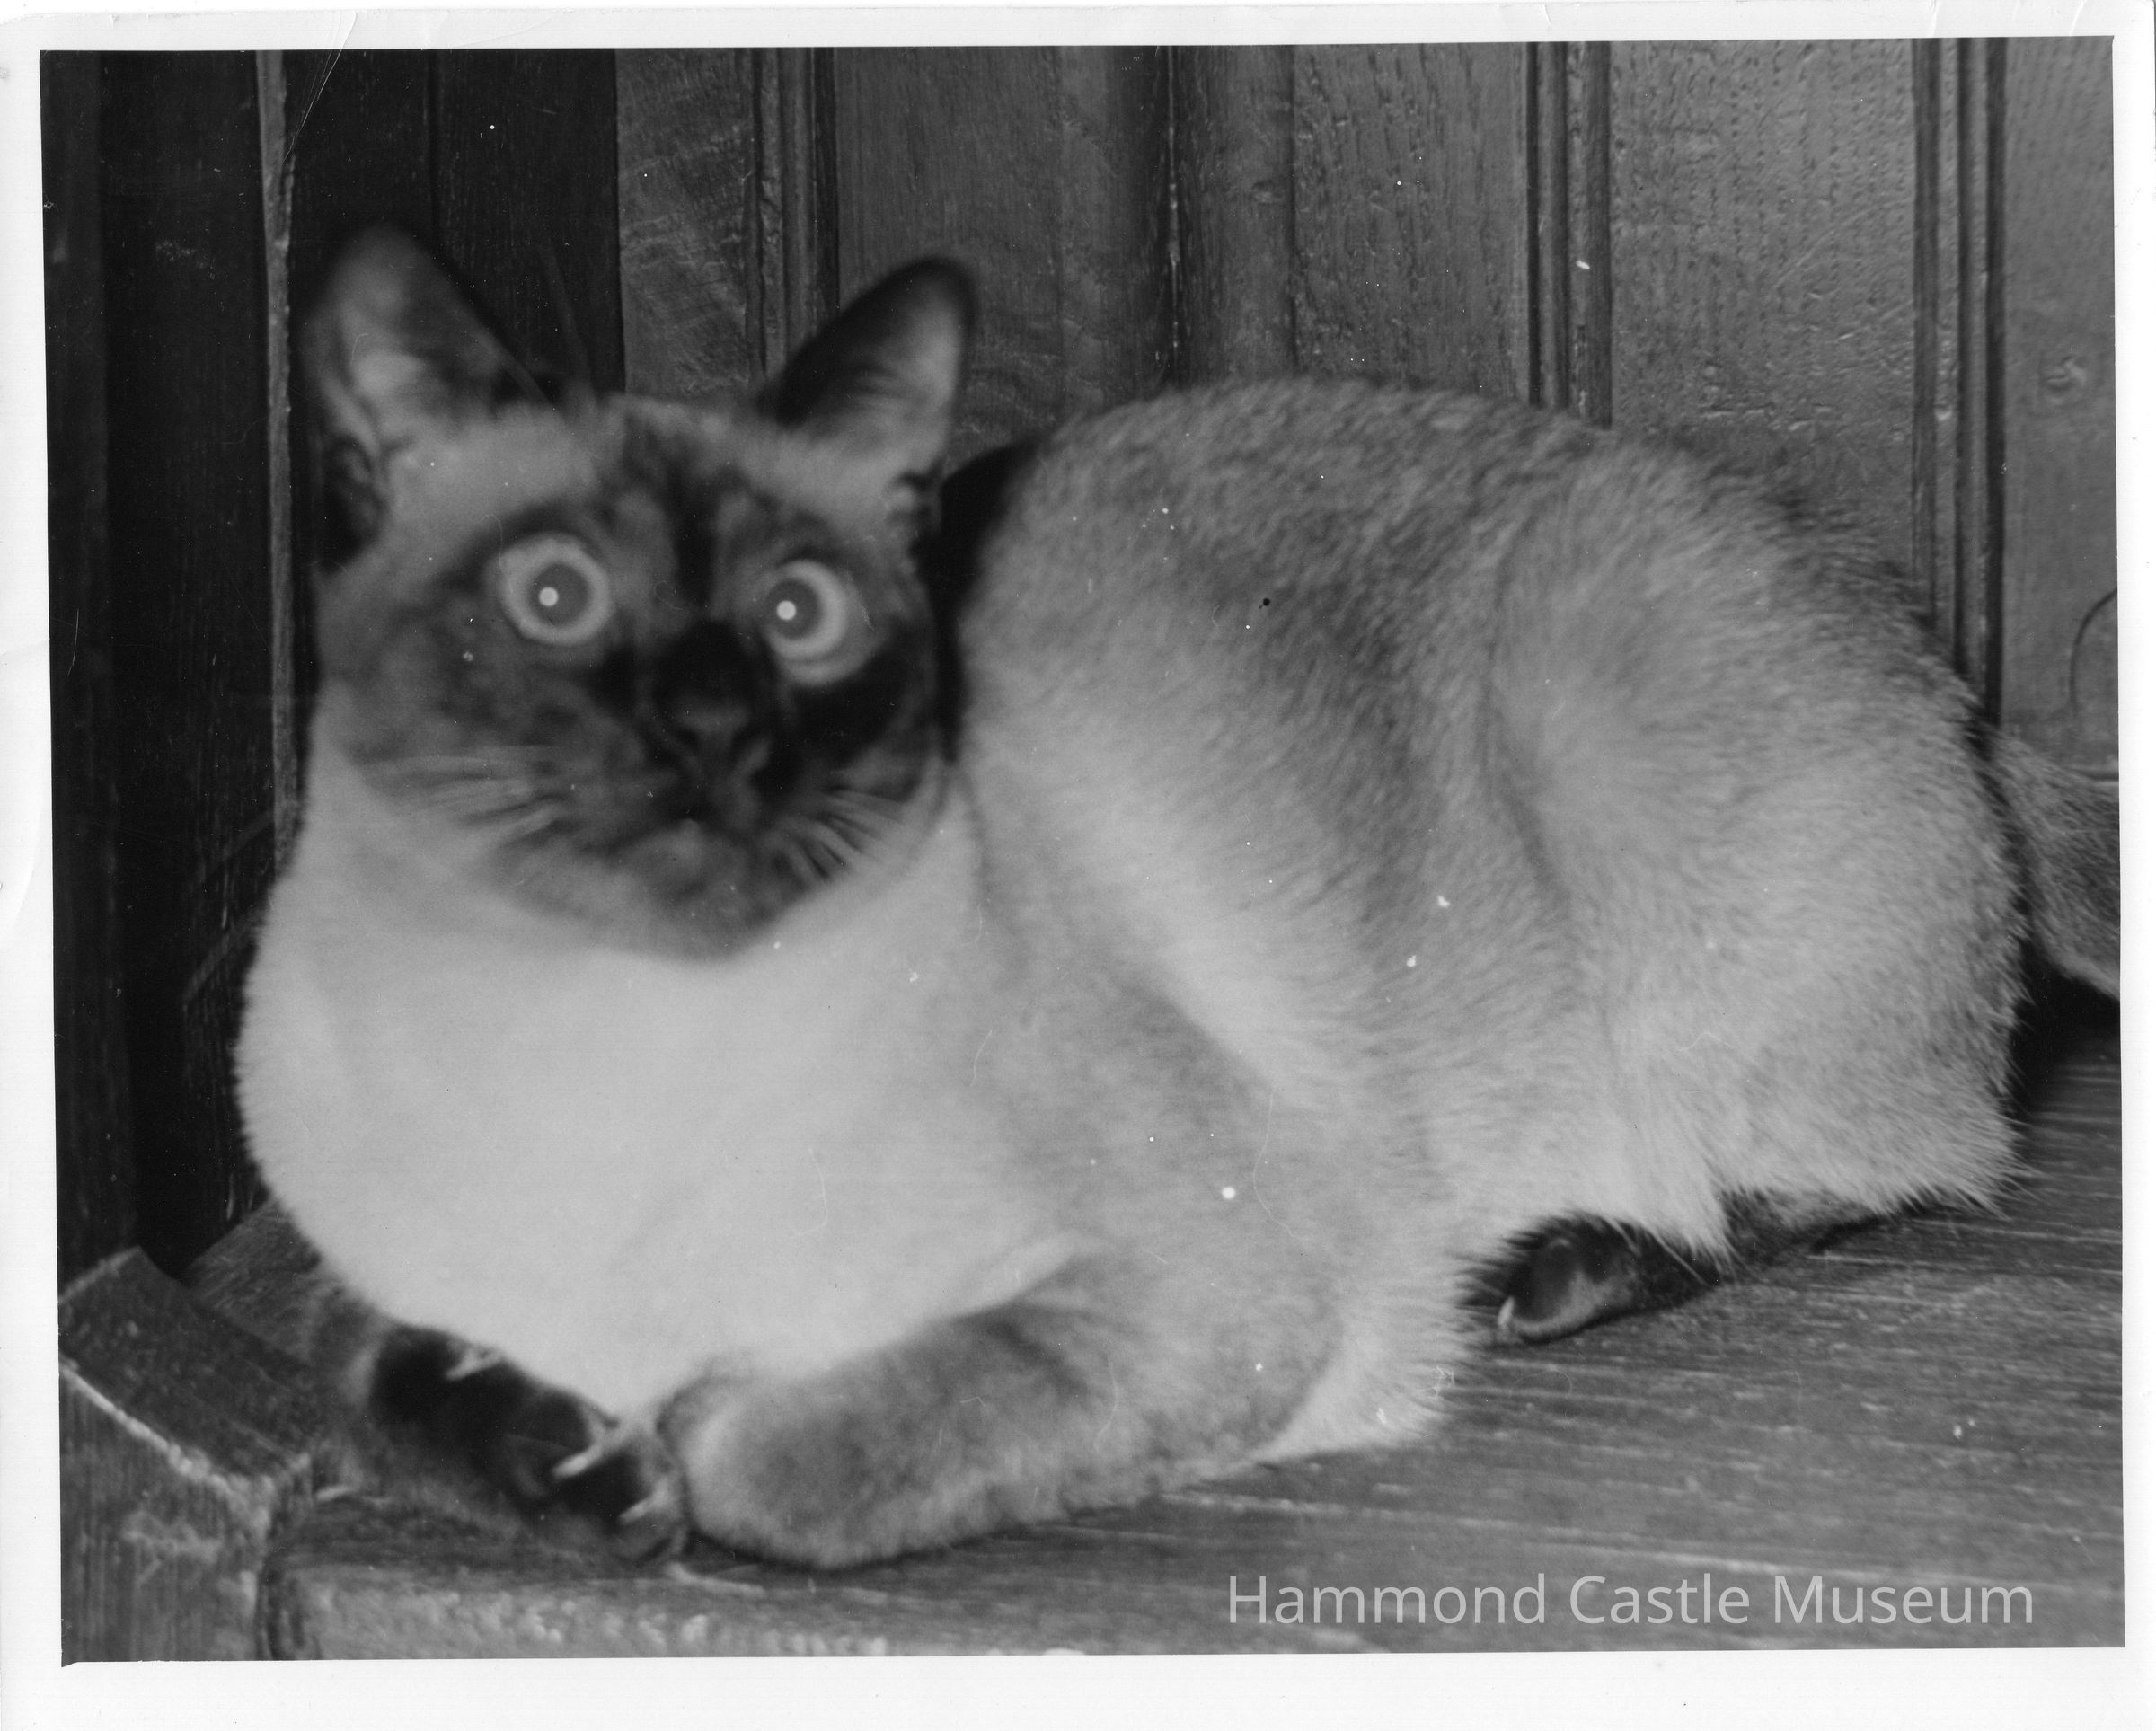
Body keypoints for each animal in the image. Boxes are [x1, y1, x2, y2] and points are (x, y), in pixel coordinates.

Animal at [236, 228, 2118, 1569]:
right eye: (554, 599)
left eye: (799, 617)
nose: (707, 742)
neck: (615, 1061)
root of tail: (1950, 675)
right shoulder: (355, 1281)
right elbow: (358, 1365)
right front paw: (561, 1458)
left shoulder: (1224, 1294)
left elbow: (762, 1459)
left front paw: (670, 1451)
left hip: (1607, 749)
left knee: (1887, 1164)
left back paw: (1565, 1269)